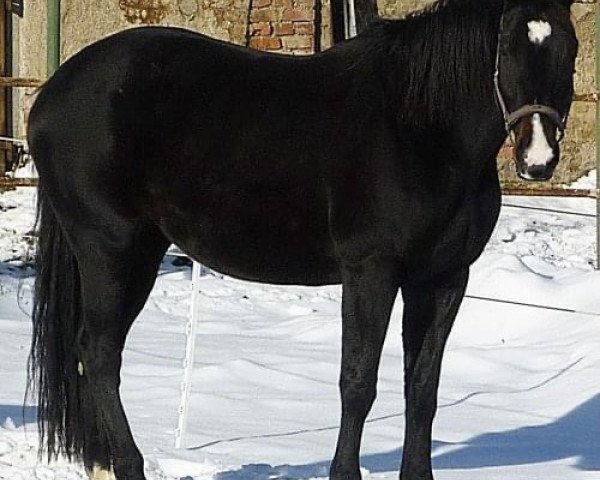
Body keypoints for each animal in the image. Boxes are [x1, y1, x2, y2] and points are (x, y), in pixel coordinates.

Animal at [25, 0, 580, 480]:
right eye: (507, 48)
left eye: (570, 48)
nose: (537, 159)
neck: (421, 131)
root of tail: (52, 93)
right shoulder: (370, 273)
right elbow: (357, 383)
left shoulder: (443, 279)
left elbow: (422, 388)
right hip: (113, 250)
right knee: (99, 353)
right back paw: (127, 465)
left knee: (91, 354)